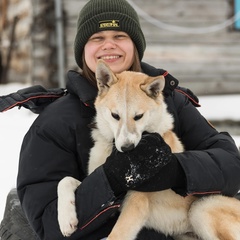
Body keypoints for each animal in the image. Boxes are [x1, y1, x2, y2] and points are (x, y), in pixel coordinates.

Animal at [57, 59, 240, 238]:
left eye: (138, 116)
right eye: (115, 115)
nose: (127, 148)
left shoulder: (136, 203)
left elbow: (116, 235)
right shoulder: (100, 180)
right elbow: (65, 180)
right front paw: (66, 219)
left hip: (201, 207)